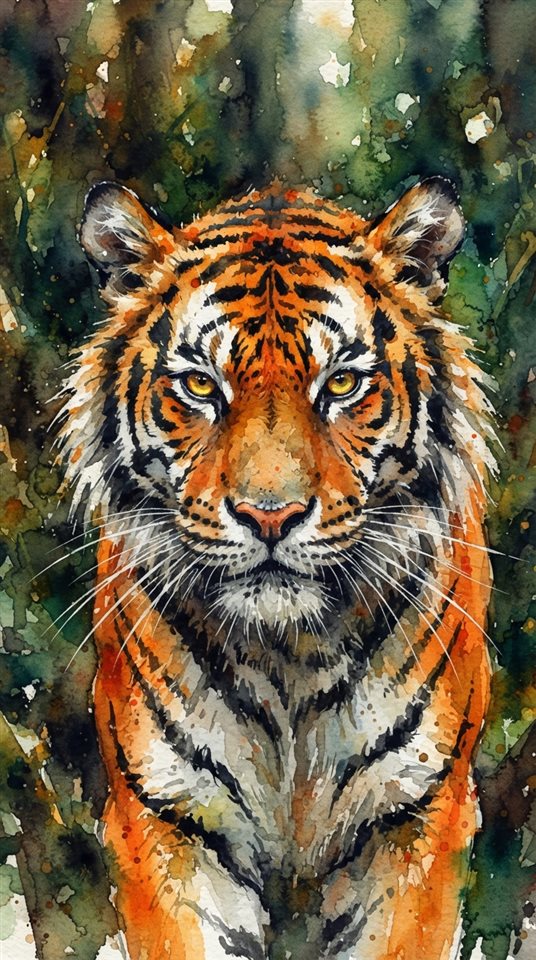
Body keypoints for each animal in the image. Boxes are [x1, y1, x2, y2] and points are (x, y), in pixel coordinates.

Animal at [57, 177, 496, 960]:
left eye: (342, 384)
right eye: (201, 387)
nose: (270, 515)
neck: (290, 653)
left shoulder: (412, 818)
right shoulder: (173, 821)